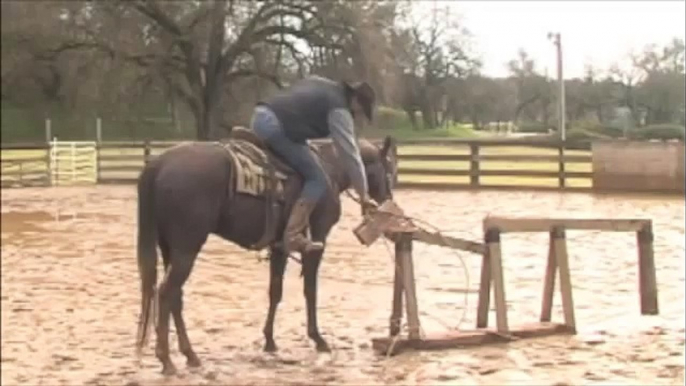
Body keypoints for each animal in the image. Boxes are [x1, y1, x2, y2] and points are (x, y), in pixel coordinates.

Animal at [133, 128, 398, 376]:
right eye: (389, 170)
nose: (387, 201)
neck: (330, 168)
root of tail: (159, 163)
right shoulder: (317, 241)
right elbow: (310, 291)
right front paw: (318, 339)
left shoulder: (279, 247)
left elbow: (275, 291)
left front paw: (269, 341)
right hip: (186, 249)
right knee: (166, 293)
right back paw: (166, 360)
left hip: (171, 248)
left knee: (175, 296)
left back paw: (190, 355)